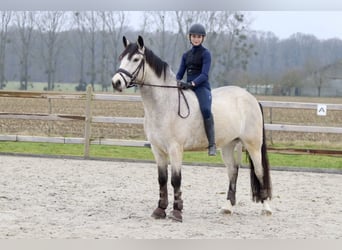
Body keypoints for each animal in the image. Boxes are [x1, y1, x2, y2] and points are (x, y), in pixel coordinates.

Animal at [112, 35, 272, 223]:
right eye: (121, 57)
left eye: (136, 59)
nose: (116, 82)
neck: (164, 104)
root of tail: (251, 98)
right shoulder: (157, 150)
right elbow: (162, 179)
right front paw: (160, 210)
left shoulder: (175, 149)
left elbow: (175, 180)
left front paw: (177, 212)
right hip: (228, 145)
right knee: (233, 171)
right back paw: (228, 207)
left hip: (253, 145)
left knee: (260, 172)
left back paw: (266, 208)